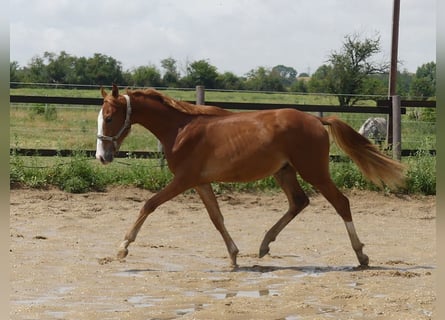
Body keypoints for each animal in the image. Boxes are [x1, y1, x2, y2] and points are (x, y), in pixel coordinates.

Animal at [95, 85, 404, 268]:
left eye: (109, 118)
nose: (102, 156)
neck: (181, 129)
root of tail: (317, 120)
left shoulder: (183, 180)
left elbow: (149, 204)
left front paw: (122, 248)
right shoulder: (200, 182)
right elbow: (217, 217)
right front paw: (233, 256)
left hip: (313, 171)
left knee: (341, 203)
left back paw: (361, 255)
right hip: (285, 172)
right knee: (299, 202)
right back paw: (265, 244)